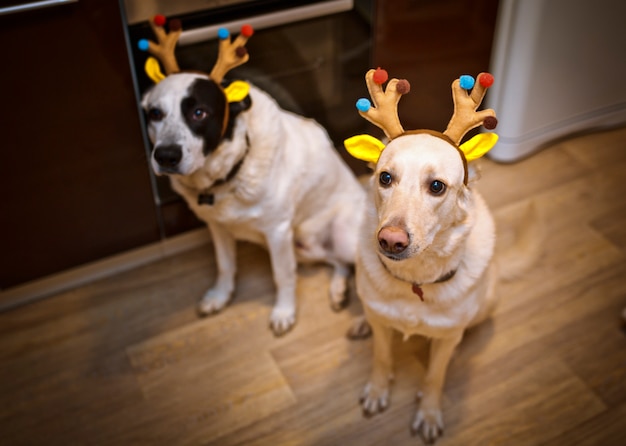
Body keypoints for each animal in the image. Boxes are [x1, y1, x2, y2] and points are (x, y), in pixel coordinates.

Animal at [136, 19, 360, 336]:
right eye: (155, 113)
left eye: (199, 113)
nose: (166, 156)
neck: (231, 173)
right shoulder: (218, 227)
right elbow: (225, 265)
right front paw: (219, 296)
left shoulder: (278, 233)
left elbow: (283, 276)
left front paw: (284, 312)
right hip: (303, 245)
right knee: (340, 264)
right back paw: (339, 290)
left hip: (340, 237)